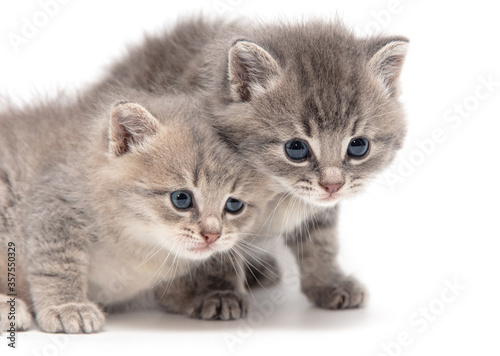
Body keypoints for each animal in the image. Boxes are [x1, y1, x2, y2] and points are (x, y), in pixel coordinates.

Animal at [0, 89, 274, 334]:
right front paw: (68, 305)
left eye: (234, 205)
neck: (137, 246)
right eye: (181, 198)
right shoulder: (54, 202)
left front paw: (209, 292)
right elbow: (57, 263)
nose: (212, 235)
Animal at [94, 18, 410, 312]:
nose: (332, 185)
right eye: (296, 148)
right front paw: (216, 293)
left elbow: (321, 242)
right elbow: (212, 253)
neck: (278, 195)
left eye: (358, 146)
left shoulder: (315, 210)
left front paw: (328, 282)